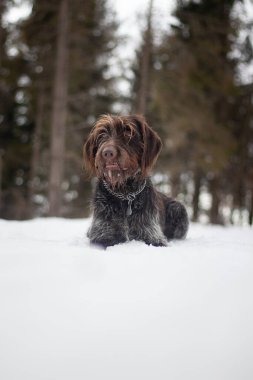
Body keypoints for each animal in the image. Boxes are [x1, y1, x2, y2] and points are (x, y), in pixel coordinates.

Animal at [83, 114, 188, 248]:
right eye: (101, 135)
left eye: (128, 132)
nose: (107, 153)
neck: (125, 193)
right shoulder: (102, 234)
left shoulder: (152, 235)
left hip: (178, 208)